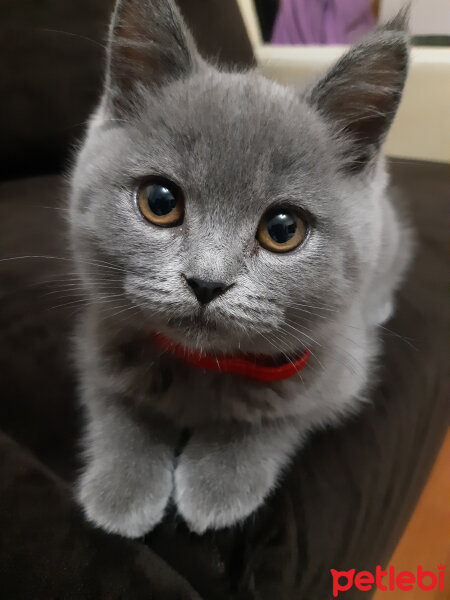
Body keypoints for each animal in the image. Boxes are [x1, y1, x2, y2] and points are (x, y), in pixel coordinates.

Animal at [70, 0, 412, 536]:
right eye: (160, 201)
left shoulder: (341, 372)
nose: (206, 282)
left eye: (283, 229)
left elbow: (280, 418)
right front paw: (122, 488)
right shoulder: (96, 338)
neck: (200, 365)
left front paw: (220, 479)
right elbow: (114, 405)